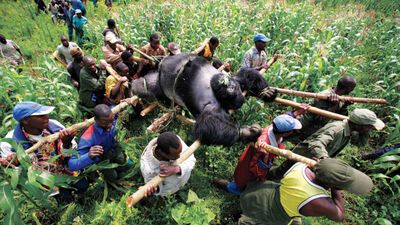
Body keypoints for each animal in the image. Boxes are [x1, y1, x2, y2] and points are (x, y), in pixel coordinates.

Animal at [130, 54, 276, 146]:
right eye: (227, 87)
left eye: (230, 85)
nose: (229, 86)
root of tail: (162, 62)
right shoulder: (212, 105)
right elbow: (208, 125)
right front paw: (245, 132)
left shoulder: (235, 80)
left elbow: (246, 74)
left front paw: (265, 92)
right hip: (161, 82)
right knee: (149, 86)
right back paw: (139, 86)